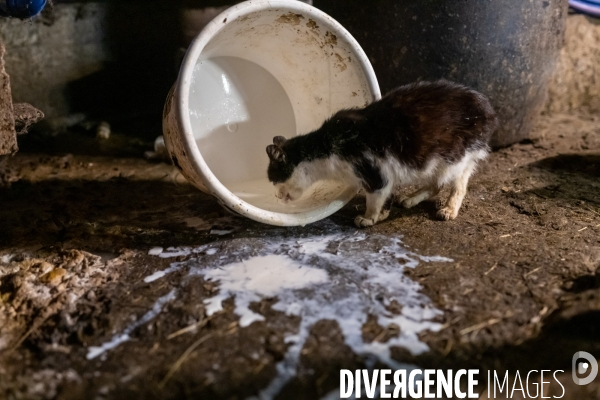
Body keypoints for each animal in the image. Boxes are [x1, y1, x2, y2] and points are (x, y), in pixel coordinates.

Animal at [266, 79, 496, 227]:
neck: (327, 148)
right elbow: (385, 196)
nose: (276, 196)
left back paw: (449, 210)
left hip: (456, 158)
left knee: (459, 185)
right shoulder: (385, 174)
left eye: (275, 180)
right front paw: (384, 213)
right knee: (436, 184)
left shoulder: (375, 172)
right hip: (435, 162)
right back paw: (410, 199)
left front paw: (369, 218)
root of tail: (488, 110)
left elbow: (374, 198)